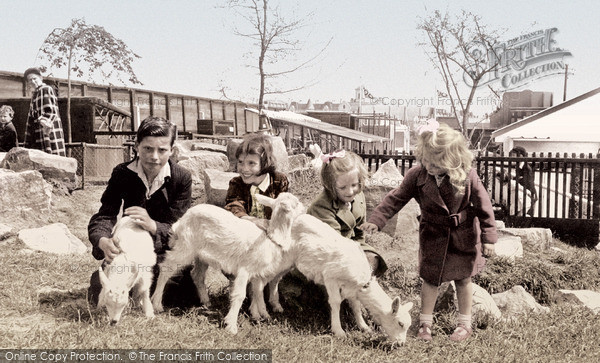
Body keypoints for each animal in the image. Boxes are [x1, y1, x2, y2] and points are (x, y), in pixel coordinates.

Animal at [152, 193, 304, 336]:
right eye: (296, 203)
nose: (303, 209)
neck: (271, 239)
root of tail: (181, 221)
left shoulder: (257, 274)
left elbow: (256, 292)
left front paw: (257, 315)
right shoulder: (245, 269)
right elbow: (240, 294)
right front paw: (231, 325)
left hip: (201, 255)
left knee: (197, 275)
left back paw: (206, 302)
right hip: (186, 246)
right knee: (167, 268)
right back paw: (157, 304)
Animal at [255, 195, 414, 346]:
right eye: (400, 323)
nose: (401, 344)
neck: (362, 280)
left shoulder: (352, 289)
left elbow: (356, 305)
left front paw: (364, 327)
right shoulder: (330, 277)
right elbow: (336, 302)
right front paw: (338, 331)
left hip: (290, 263)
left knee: (275, 279)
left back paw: (276, 305)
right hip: (282, 256)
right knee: (262, 279)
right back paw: (261, 311)